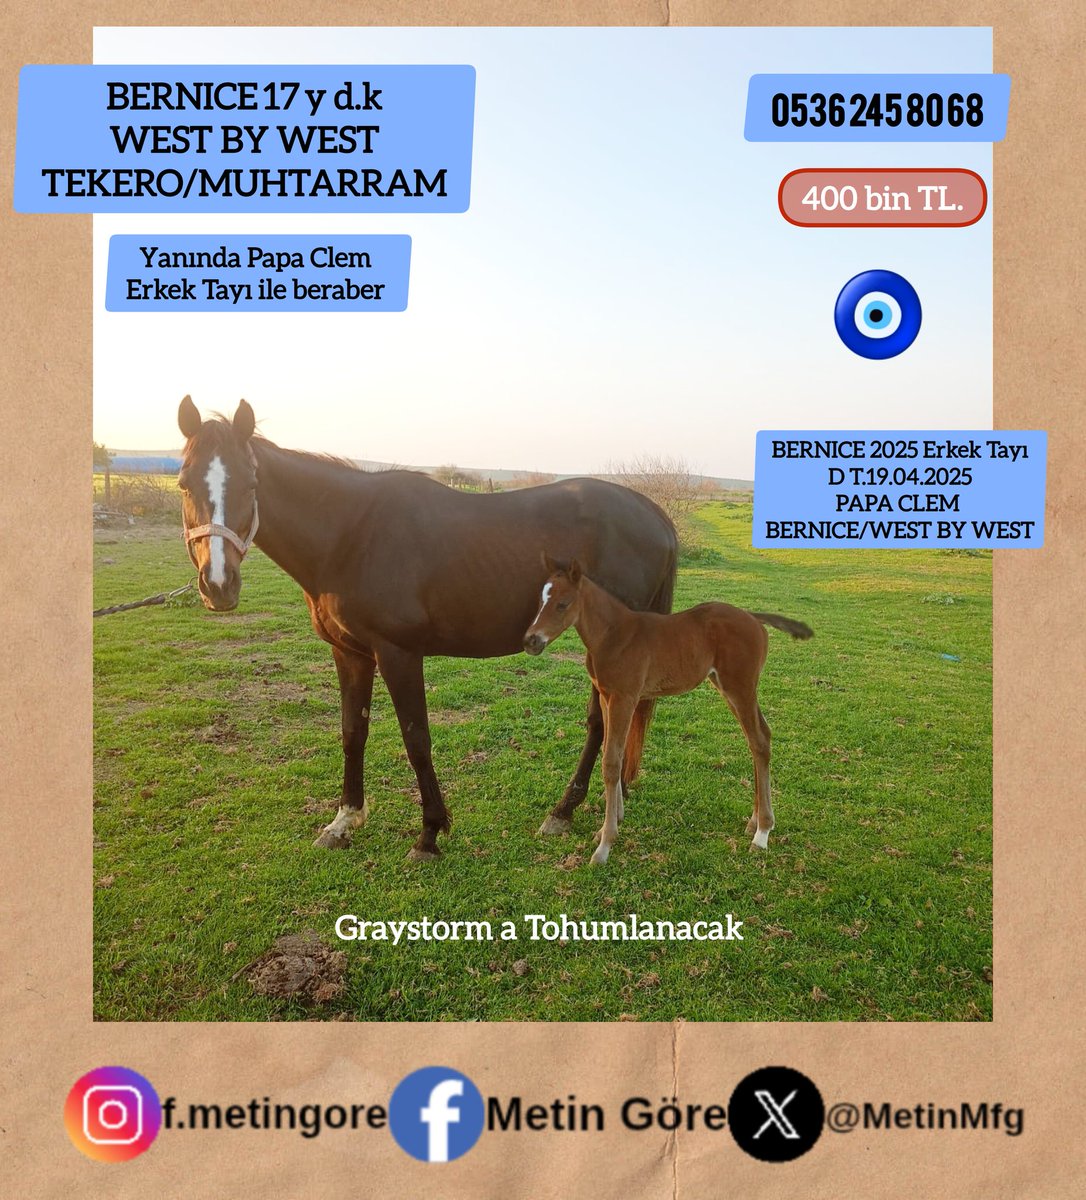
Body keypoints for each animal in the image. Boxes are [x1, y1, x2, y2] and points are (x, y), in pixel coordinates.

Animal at [176, 397, 678, 860]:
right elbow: (352, 732)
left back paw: (563, 812)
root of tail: (652, 513)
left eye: (252, 483)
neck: (350, 534)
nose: (218, 585)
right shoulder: (349, 652)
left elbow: (416, 738)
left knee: (602, 723)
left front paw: (430, 832)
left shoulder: (398, 653)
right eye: (183, 483)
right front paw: (344, 821)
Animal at [522, 555, 813, 865]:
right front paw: (609, 826)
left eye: (563, 604)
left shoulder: (624, 698)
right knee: (761, 738)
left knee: (758, 740)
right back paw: (754, 822)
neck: (613, 635)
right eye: (540, 599)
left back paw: (762, 834)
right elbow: (615, 755)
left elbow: (611, 763)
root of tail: (753, 617)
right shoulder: (607, 697)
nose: (531, 641)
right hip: (730, 687)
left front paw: (605, 845)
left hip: (740, 687)